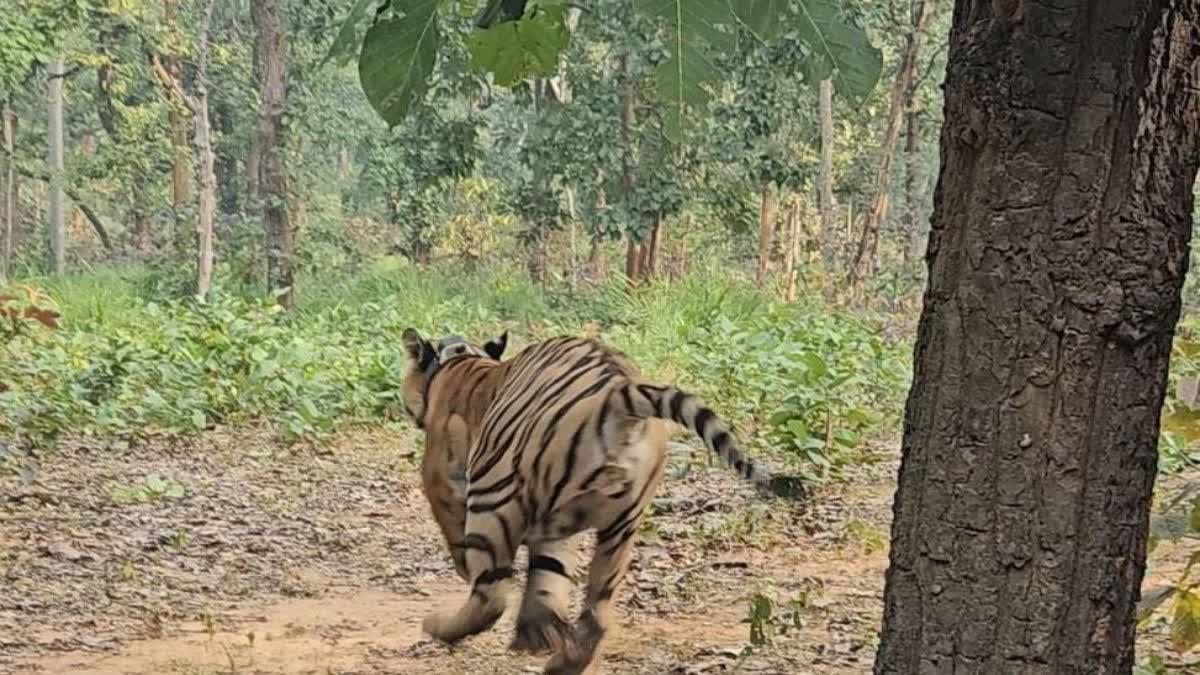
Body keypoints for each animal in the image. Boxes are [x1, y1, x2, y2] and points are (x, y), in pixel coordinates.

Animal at [403, 326, 806, 672]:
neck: (458, 362)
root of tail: (619, 393)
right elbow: (548, 577)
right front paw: (536, 632)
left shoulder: (441, 477)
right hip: (620, 527)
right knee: (595, 614)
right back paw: (560, 661)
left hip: (494, 496)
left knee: (492, 597)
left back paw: (439, 626)